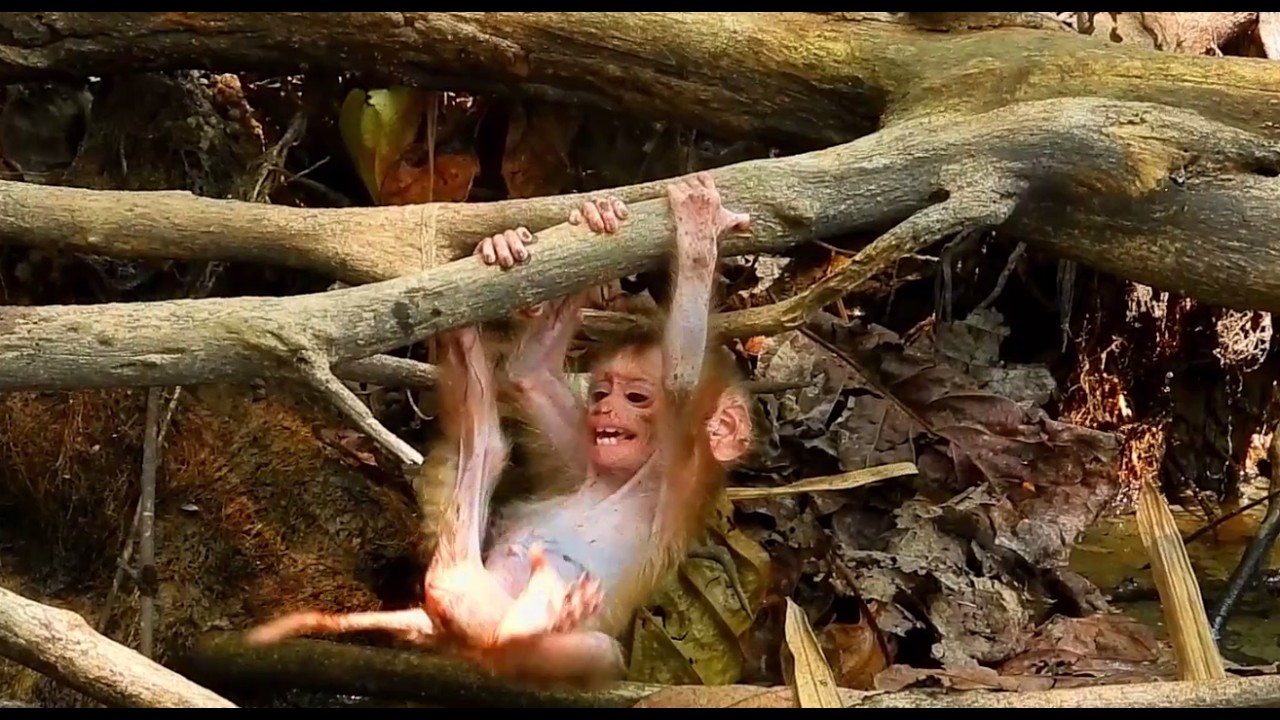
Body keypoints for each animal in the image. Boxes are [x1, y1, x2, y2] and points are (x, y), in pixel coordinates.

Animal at [246, 173, 754, 687]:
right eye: (600, 394)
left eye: (635, 398)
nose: (606, 412)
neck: (624, 474)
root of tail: (438, 618)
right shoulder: (580, 456)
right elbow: (528, 373)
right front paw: (583, 234)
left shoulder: (683, 456)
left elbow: (682, 377)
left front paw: (699, 241)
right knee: (486, 442)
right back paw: (462, 337)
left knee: (591, 651)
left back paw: (529, 621)